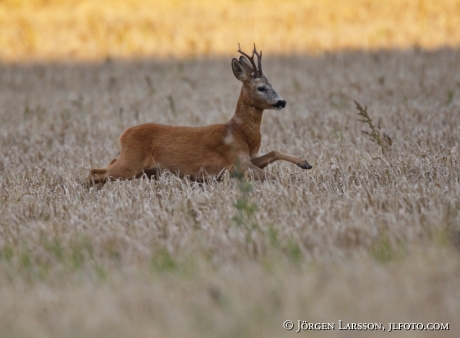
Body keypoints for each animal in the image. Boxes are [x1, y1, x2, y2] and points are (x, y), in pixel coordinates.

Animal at [86, 43, 312, 186]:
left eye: (271, 85)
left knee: (103, 168)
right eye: (261, 88)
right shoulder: (236, 159)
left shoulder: (247, 157)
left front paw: (305, 163)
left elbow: (273, 153)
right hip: (131, 163)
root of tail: (123, 135)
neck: (239, 131)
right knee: (95, 172)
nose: (281, 102)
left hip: (136, 167)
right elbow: (271, 177)